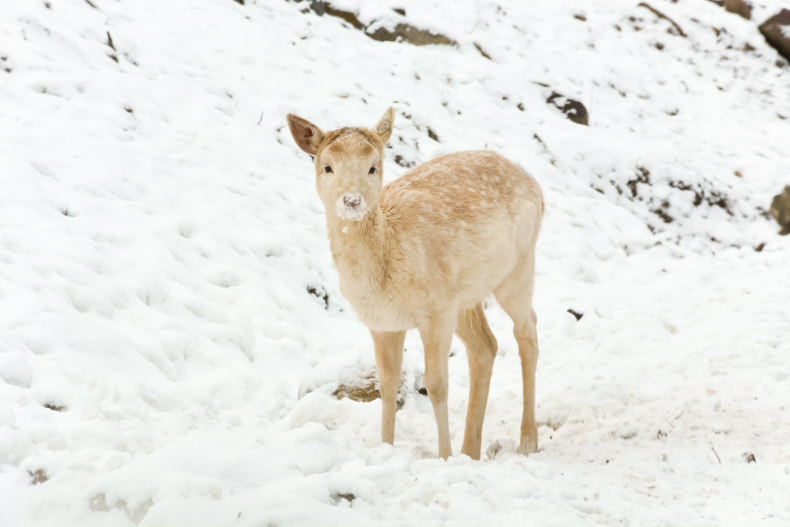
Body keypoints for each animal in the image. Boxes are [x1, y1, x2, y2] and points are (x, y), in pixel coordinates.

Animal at [290, 109, 544, 460]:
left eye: (373, 166)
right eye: (327, 166)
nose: (351, 200)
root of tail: (536, 185)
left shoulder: (436, 312)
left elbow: (436, 384)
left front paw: (444, 457)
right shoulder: (382, 322)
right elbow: (386, 383)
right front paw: (386, 448)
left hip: (518, 265)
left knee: (527, 331)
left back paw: (527, 440)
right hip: (466, 296)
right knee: (486, 346)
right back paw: (471, 450)